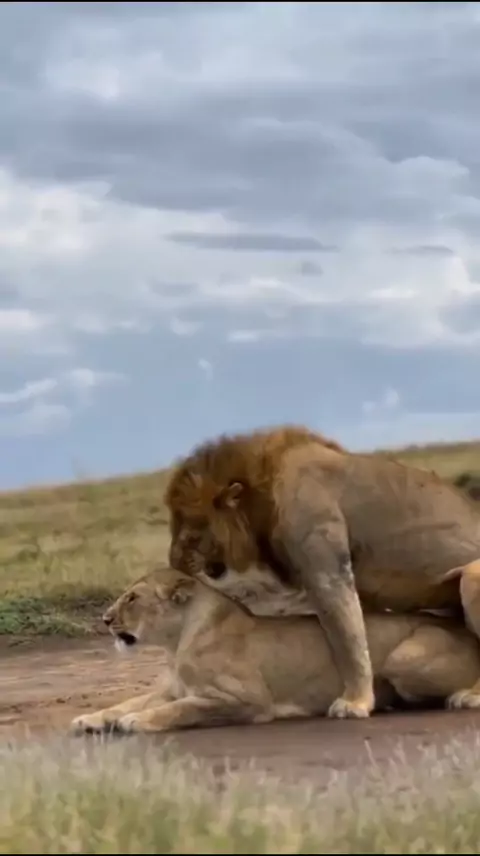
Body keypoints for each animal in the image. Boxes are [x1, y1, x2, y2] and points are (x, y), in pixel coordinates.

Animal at [71, 563, 480, 735]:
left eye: (133, 598)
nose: (105, 619)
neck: (177, 642)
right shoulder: (171, 687)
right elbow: (129, 701)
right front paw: (91, 718)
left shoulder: (243, 698)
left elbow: (182, 709)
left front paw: (135, 721)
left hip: (404, 657)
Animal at [164, 424, 480, 720]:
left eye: (191, 531)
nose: (174, 561)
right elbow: (361, 636)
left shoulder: (327, 571)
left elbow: (347, 642)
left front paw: (355, 703)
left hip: (472, 576)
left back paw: (470, 696)